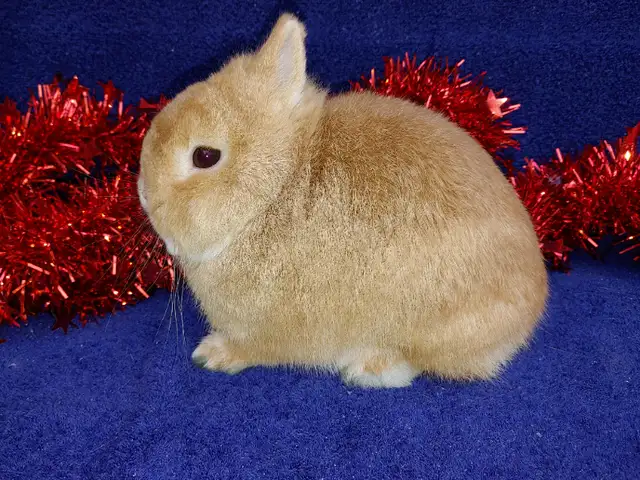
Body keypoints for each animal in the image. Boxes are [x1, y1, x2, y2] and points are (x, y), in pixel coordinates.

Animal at [137, 13, 548, 388]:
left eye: (205, 156)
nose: (143, 194)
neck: (271, 194)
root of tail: (533, 306)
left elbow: (252, 348)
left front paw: (211, 354)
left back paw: (368, 369)